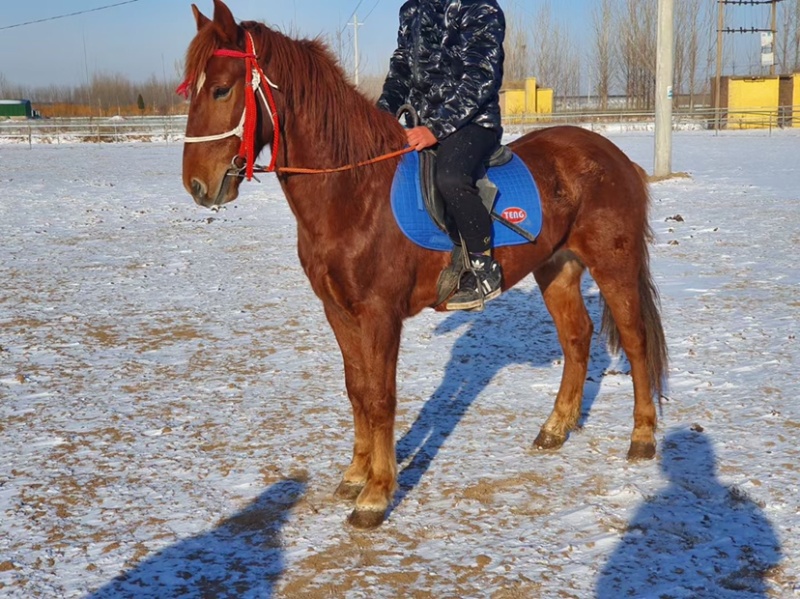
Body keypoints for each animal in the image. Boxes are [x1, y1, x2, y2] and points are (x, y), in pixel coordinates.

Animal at [179, 0, 668, 529]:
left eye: (221, 88)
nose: (197, 185)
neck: (353, 191)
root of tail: (614, 156)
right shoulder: (338, 311)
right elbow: (356, 389)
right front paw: (355, 475)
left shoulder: (379, 313)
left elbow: (380, 397)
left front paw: (376, 495)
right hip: (557, 269)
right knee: (576, 338)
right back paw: (555, 428)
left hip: (613, 265)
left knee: (635, 341)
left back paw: (642, 438)